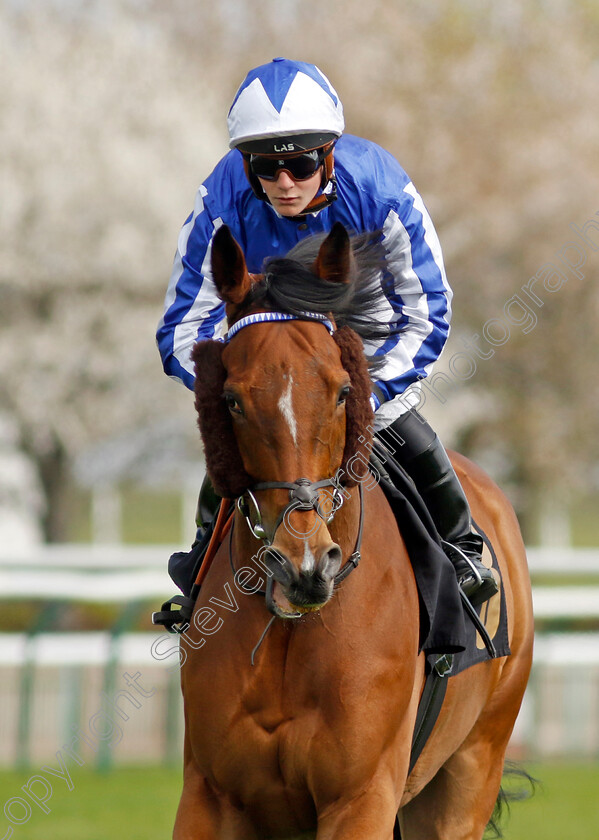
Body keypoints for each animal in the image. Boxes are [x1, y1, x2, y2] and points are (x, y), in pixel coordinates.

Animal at [173, 223, 536, 840]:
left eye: (343, 391)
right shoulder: (210, 796)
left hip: (468, 771)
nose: (303, 565)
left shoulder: (361, 796)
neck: (291, 629)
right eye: (232, 400)